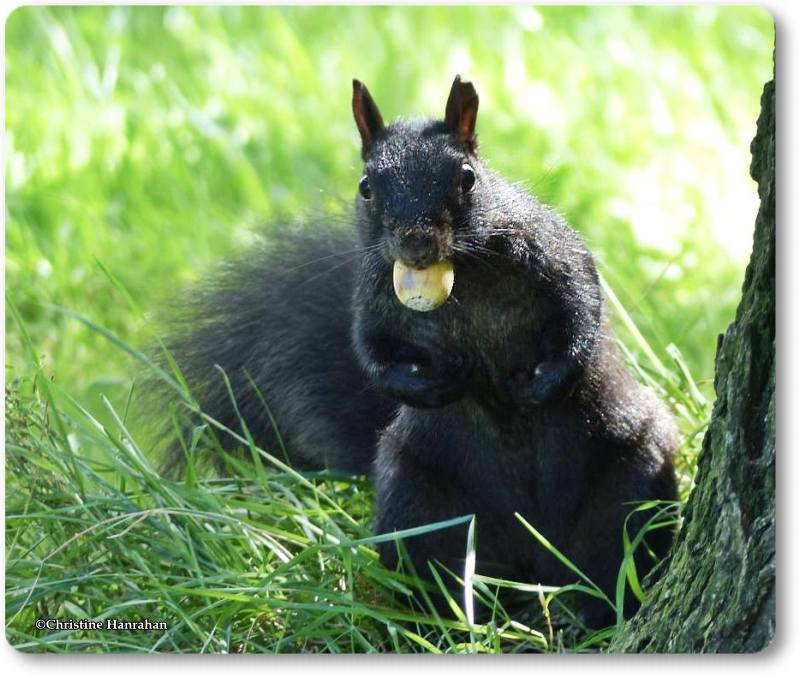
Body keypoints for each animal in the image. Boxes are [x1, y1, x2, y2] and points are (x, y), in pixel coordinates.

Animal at [155, 77, 676, 624]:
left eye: (467, 178)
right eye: (366, 186)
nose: (416, 243)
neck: (464, 273)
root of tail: (536, 563)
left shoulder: (555, 251)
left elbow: (583, 308)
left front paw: (545, 381)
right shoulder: (372, 299)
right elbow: (371, 352)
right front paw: (431, 386)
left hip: (630, 486)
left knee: (614, 561)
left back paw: (591, 613)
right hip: (420, 502)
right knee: (445, 573)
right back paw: (459, 618)